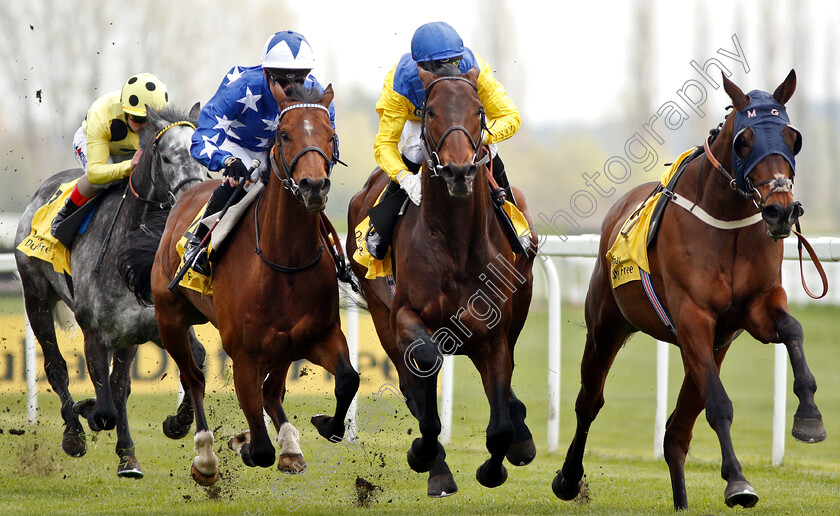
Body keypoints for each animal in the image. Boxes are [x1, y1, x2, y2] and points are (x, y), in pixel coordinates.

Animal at [15, 105, 208, 480]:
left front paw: (176, 424)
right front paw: (86, 411)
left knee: (118, 386)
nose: (196, 199)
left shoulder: (148, 324)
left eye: (201, 155)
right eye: (166, 157)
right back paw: (74, 433)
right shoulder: (94, 331)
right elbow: (103, 409)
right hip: (37, 296)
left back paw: (126, 456)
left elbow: (197, 361)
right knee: (57, 367)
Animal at [120, 82, 354, 486]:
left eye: (330, 134)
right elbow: (259, 448)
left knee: (272, 391)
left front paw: (327, 425)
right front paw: (243, 443)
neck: (284, 259)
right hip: (170, 320)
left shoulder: (318, 335)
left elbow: (347, 379)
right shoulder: (243, 352)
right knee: (194, 378)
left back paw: (290, 446)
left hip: (283, 344)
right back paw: (205, 455)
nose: (313, 186)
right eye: (284, 133)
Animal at [346, 64, 540, 496]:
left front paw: (498, 463)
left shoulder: (494, 331)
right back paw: (436, 466)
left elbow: (500, 421)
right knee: (411, 379)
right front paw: (424, 453)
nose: (459, 170)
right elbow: (426, 363)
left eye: (479, 111)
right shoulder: (403, 314)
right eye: (431, 111)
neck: (455, 244)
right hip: (380, 312)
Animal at [552, 70, 828, 510]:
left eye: (791, 137)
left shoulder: (754, 309)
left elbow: (792, 330)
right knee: (589, 401)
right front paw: (738, 481)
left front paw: (809, 417)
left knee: (678, 428)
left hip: (712, 347)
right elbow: (718, 404)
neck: (727, 222)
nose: (781, 210)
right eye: (744, 140)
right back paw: (569, 477)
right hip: (607, 327)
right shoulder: (693, 316)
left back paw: (681, 500)